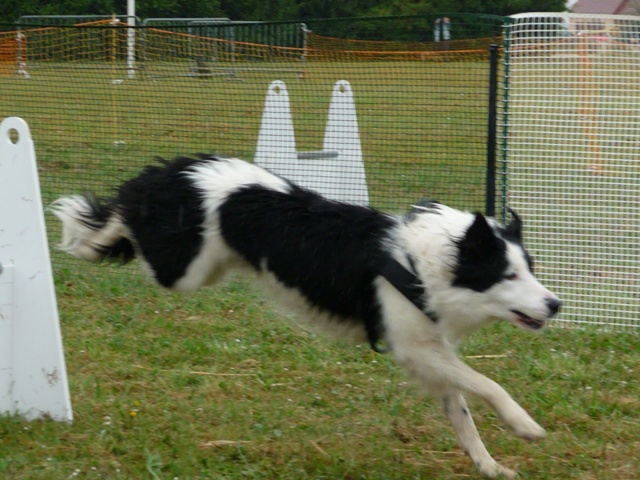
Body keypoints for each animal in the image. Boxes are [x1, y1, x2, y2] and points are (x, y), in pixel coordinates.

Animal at [51, 156, 560, 478]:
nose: (555, 304)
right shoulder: (414, 347)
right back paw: (87, 231)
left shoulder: (430, 351)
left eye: (531, 268)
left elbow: (463, 414)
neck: (423, 264)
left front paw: (490, 466)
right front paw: (525, 425)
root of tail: (172, 169)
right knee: (126, 206)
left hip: (208, 266)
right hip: (182, 269)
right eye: (508, 274)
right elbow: (489, 384)